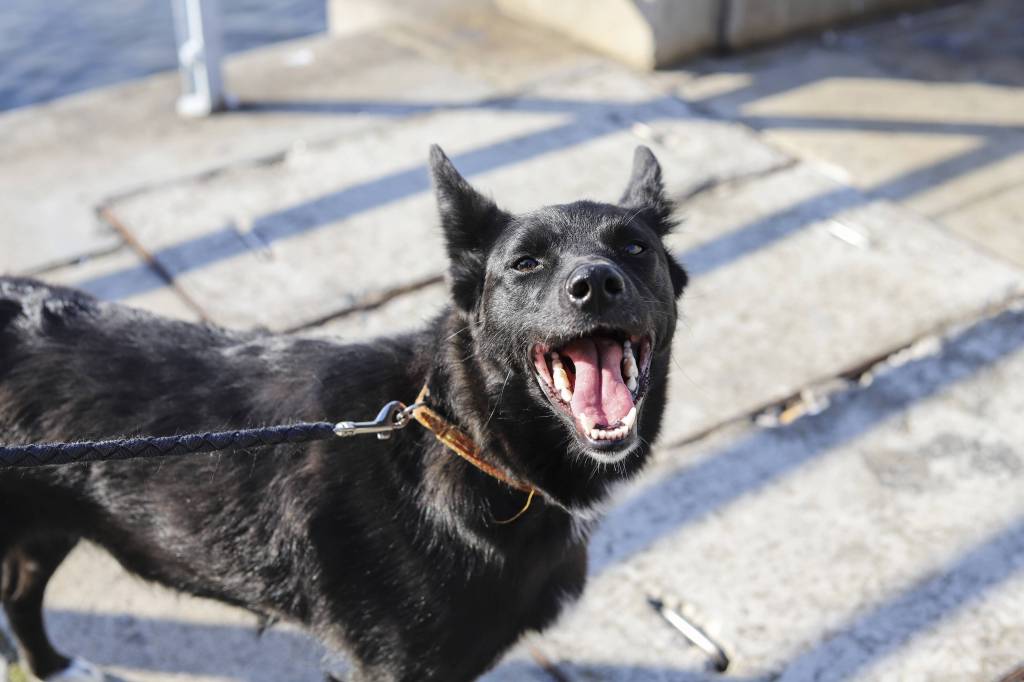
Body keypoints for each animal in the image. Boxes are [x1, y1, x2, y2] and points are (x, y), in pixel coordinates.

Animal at [2, 144, 688, 679]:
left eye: (634, 248)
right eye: (525, 263)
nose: (595, 284)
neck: (465, 437)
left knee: (20, 593)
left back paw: (50, 666)